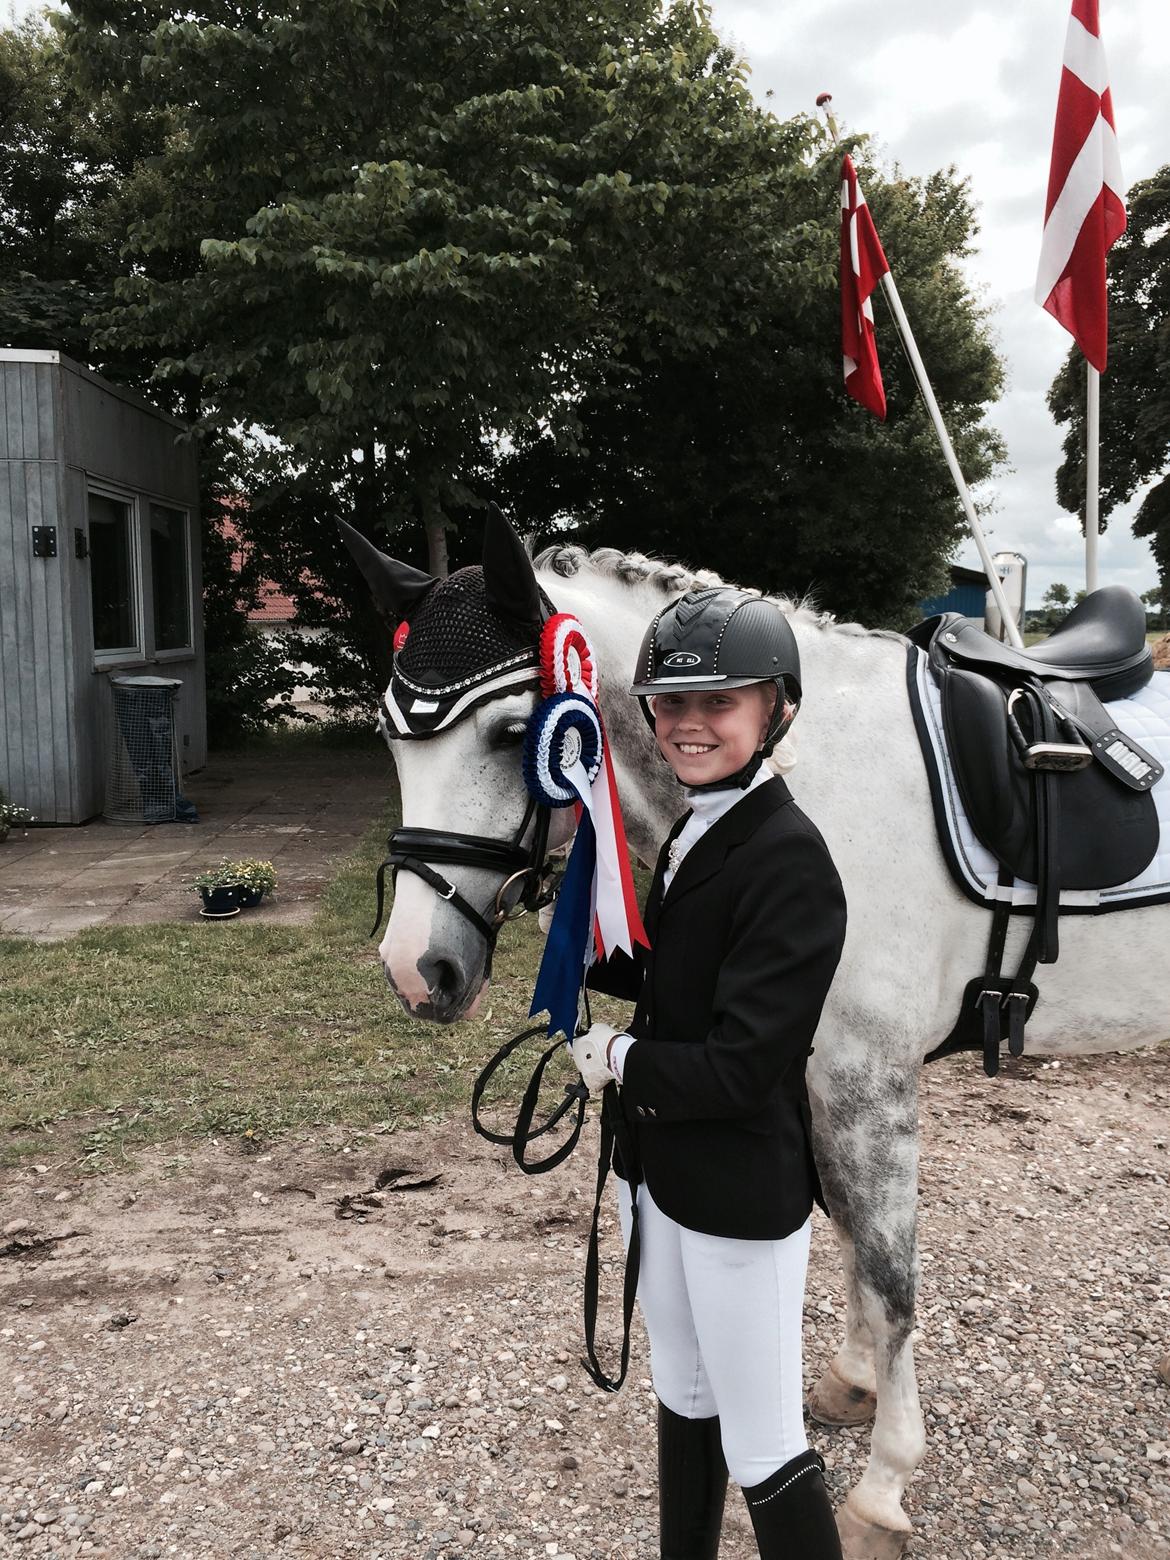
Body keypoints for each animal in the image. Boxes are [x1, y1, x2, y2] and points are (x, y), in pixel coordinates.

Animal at [352, 530, 1166, 1553]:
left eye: (508, 735)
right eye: (391, 738)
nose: (416, 969)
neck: (814, 781)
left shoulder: (868, 1080)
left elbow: (890, 1276)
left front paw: (883, 1488)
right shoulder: (815, 1077)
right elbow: (852, 1239)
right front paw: (852, 1386)